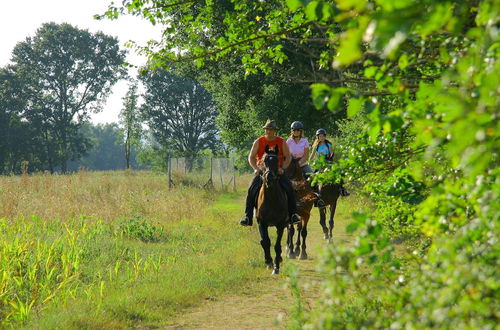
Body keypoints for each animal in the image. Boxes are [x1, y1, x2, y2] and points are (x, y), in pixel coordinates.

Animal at [256, 146, 288, 274]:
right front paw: (269, 262)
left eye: (276, 160)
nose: (269, 177)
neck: (271, 199)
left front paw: (276, 266)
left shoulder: (281, 224)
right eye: (264, 160)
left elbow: (277, 245)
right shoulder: (262, 223)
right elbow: (266, 242)